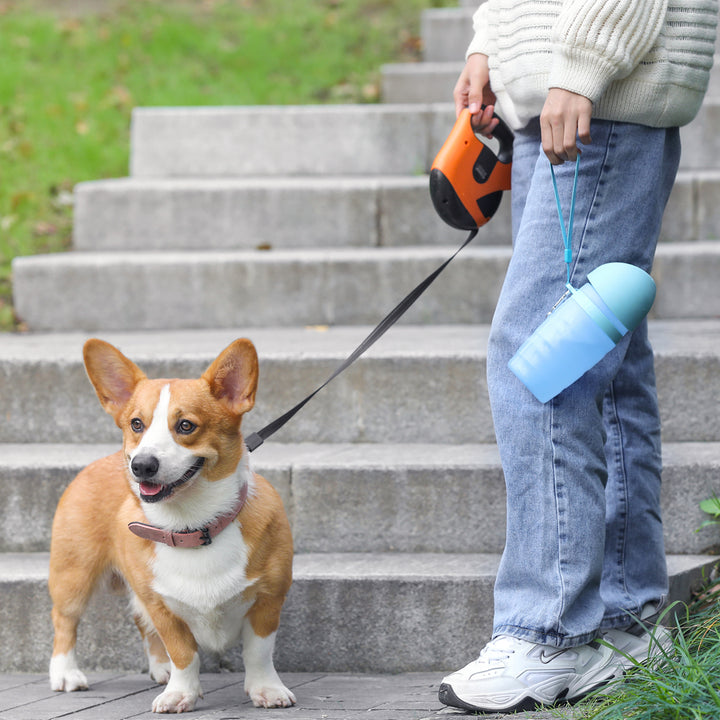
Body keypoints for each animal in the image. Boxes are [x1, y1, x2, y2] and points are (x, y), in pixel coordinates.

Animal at [48, 340, 296, 712]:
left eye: (186, 426)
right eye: (137, 424)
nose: (141, 466)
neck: (193, 525)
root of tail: (99, 462)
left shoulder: (268, 600)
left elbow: (259, 652)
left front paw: (267, 690)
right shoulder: (162, 606)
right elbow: (184, 653)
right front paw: (181, 693)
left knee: (141, 624)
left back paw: (160, 669)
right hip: (74, 575)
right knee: (65, 620)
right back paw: (65, 673)